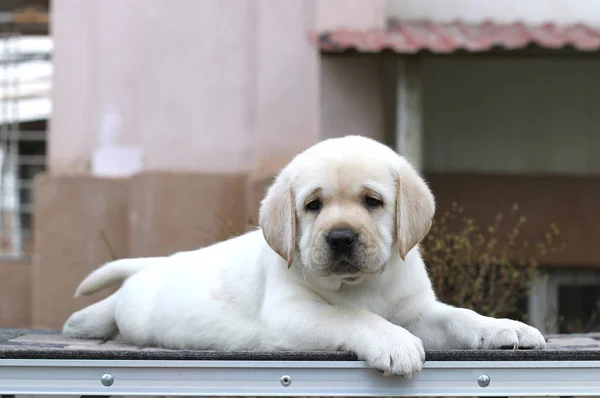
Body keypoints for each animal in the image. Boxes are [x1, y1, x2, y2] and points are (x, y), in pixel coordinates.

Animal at [63, 135, 548, 378]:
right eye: (313, 205)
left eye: (373, 201)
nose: (341, 238)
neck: (360, 284)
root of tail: (162, 262)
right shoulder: (290, 313)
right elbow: (351, 316)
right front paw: (391, 342)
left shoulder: (418, 311)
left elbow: (459, 315)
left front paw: (504, 327)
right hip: (141, 306)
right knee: (118, 303)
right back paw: (84, 321)